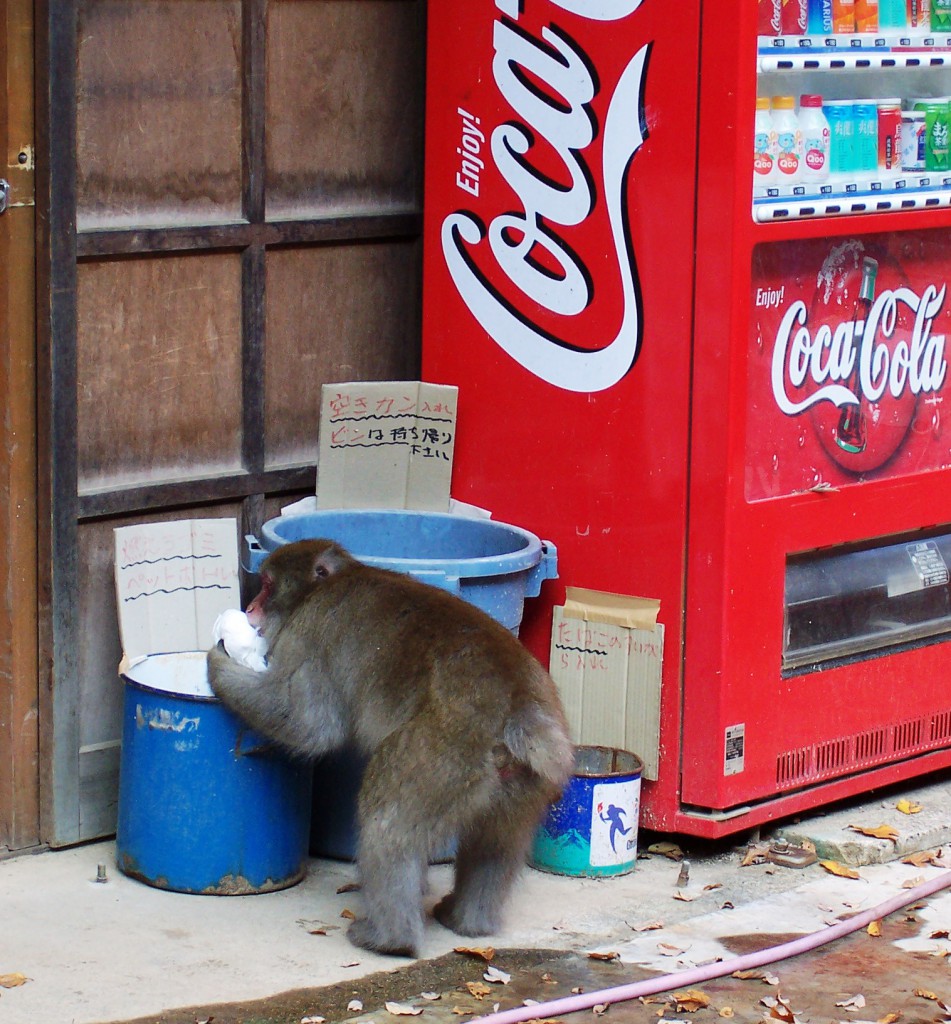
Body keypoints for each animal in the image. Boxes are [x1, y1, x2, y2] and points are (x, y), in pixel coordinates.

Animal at [207, 538, 574, 958]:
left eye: (267, 585)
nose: (251, 607)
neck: (329, 584)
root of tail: (518, 706)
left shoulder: (310, 632)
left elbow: (309, 725)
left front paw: (217, 662)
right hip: (524, 785)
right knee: (497, 842)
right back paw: (468, 921)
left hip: (441, 758)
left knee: (389, 821)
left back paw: (390, 939)